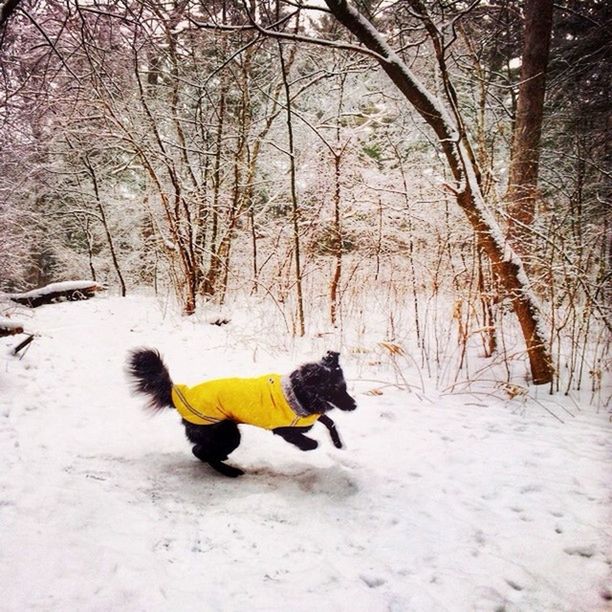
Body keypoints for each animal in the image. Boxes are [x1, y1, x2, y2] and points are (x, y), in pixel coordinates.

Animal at [128, 346, 358, 476]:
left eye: (345, 387)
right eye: (335, 389)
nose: (355, 405)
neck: (298, 390)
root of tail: (178, 393)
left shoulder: (309, 416)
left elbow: (329, 421)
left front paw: (338, 443)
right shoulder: (284, 430)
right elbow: (311, 439)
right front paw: (311, 445)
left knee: (201, 450)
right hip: (227, 433)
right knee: (200, 451)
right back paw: (228, 471)